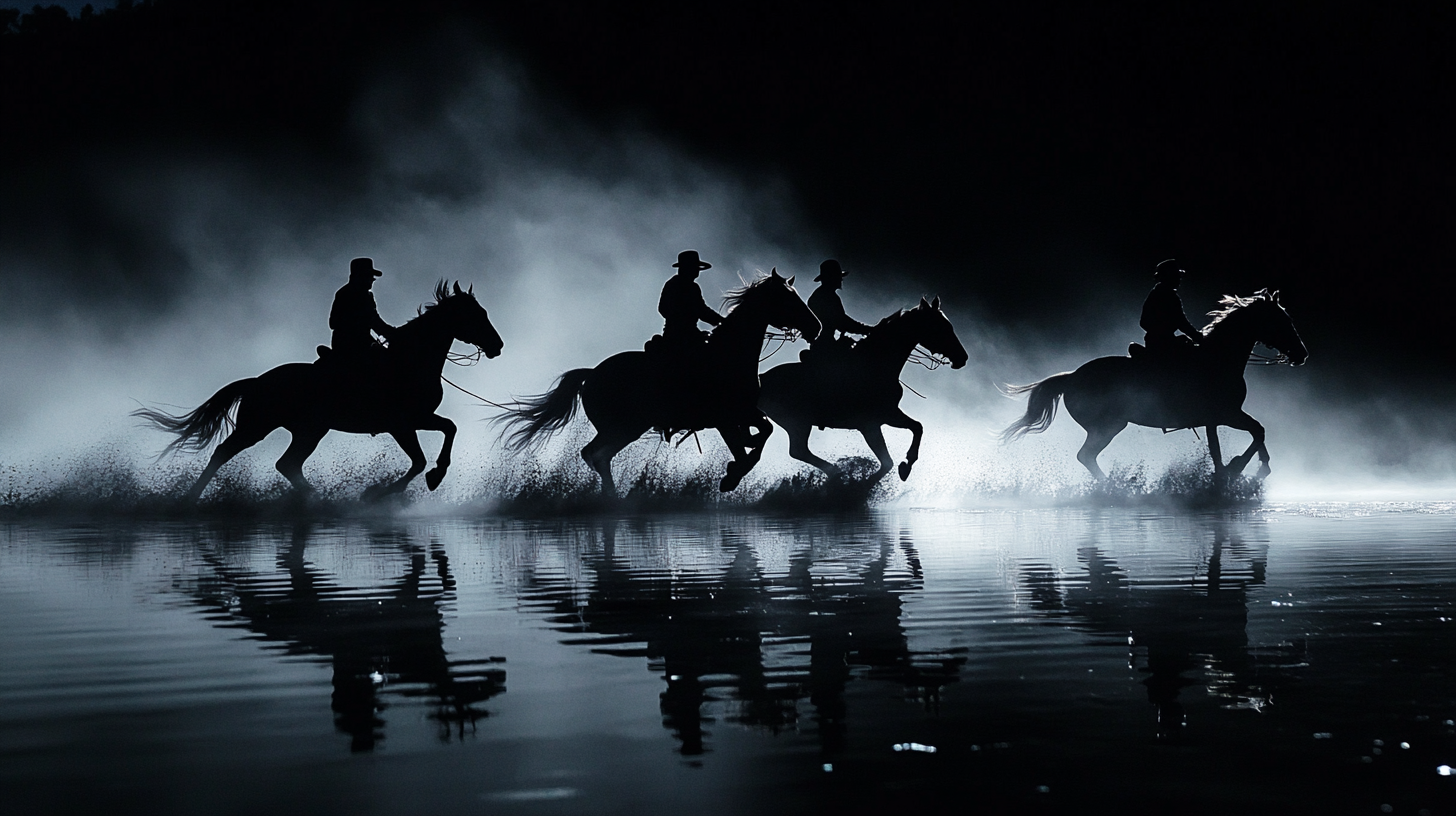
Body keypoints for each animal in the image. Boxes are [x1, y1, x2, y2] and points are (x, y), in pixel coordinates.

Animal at [135, 279, 506, 501]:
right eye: (475, 314)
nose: (498, 346)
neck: (410, 361)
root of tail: (257, 381)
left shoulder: (416, 419)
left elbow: (447, 430)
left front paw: (431, 476)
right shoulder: (402, 423)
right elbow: (419, 459)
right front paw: (384, 491)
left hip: (309, 430)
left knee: (287, 464)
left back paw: (314, 498)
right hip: (260, 427)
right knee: (225, 454)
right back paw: (191, 498)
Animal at [497, 271, 821, 495]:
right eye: (789, 298)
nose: (815, 327)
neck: (727, 356)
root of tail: (592, 374)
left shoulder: (742, 413)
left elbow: (760, 433)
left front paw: (737, 465)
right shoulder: (725, 418)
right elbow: (750, 445)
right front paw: (732, 475)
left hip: (624, 428)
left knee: (597, 456)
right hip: (623, 427)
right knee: (595, 454)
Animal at [757, 294, 972, 480]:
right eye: (940, 327)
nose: (963, 357)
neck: (874, 364)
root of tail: (760, 380)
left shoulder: (888, 415)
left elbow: (916, 427)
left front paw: (907, 464)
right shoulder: (871, 424)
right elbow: (887, 461)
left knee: (800, 451)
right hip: (797, 423)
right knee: (798, 450)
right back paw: (835, 472)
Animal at [1001, 288, 1310, 480]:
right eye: (1281, 320)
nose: (1301, 354)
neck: (1219, 357)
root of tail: (1072, 376)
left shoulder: (1219, 417)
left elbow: (1250, 435)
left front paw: (1250, 469)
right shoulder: (1224, 415)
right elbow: (1251, 435)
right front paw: (1238, 468)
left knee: (1086, 457)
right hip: (1108, 426)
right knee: (1085, 456)